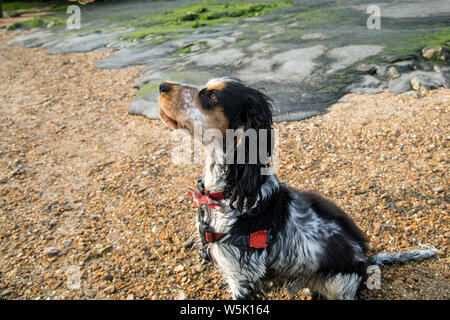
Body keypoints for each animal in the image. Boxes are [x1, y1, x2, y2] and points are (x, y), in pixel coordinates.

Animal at [157, 77, 436, 300]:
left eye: (212, 95)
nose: (161, 85)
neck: (229, 192)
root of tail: (365, 261)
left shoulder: (242, 277)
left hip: (338, 283)